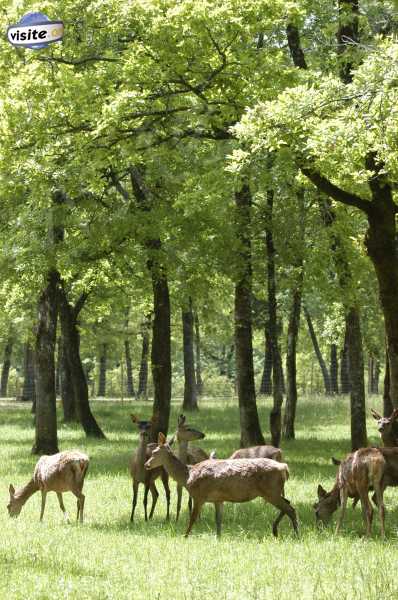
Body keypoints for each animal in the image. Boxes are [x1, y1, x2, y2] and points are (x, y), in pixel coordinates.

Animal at [145, 432, 296, 540]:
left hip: (270, 490)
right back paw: (276, 530)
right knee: (288, 504)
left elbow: (193, 518)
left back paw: (295, 534)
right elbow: (218, 520)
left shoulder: (199, 495)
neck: (188, 476)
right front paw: (218, 537)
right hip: (274, 491)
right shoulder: (218, 499)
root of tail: (284, 467)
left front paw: (185, 536)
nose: (146, 465)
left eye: (155, 453)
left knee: (290, 509)